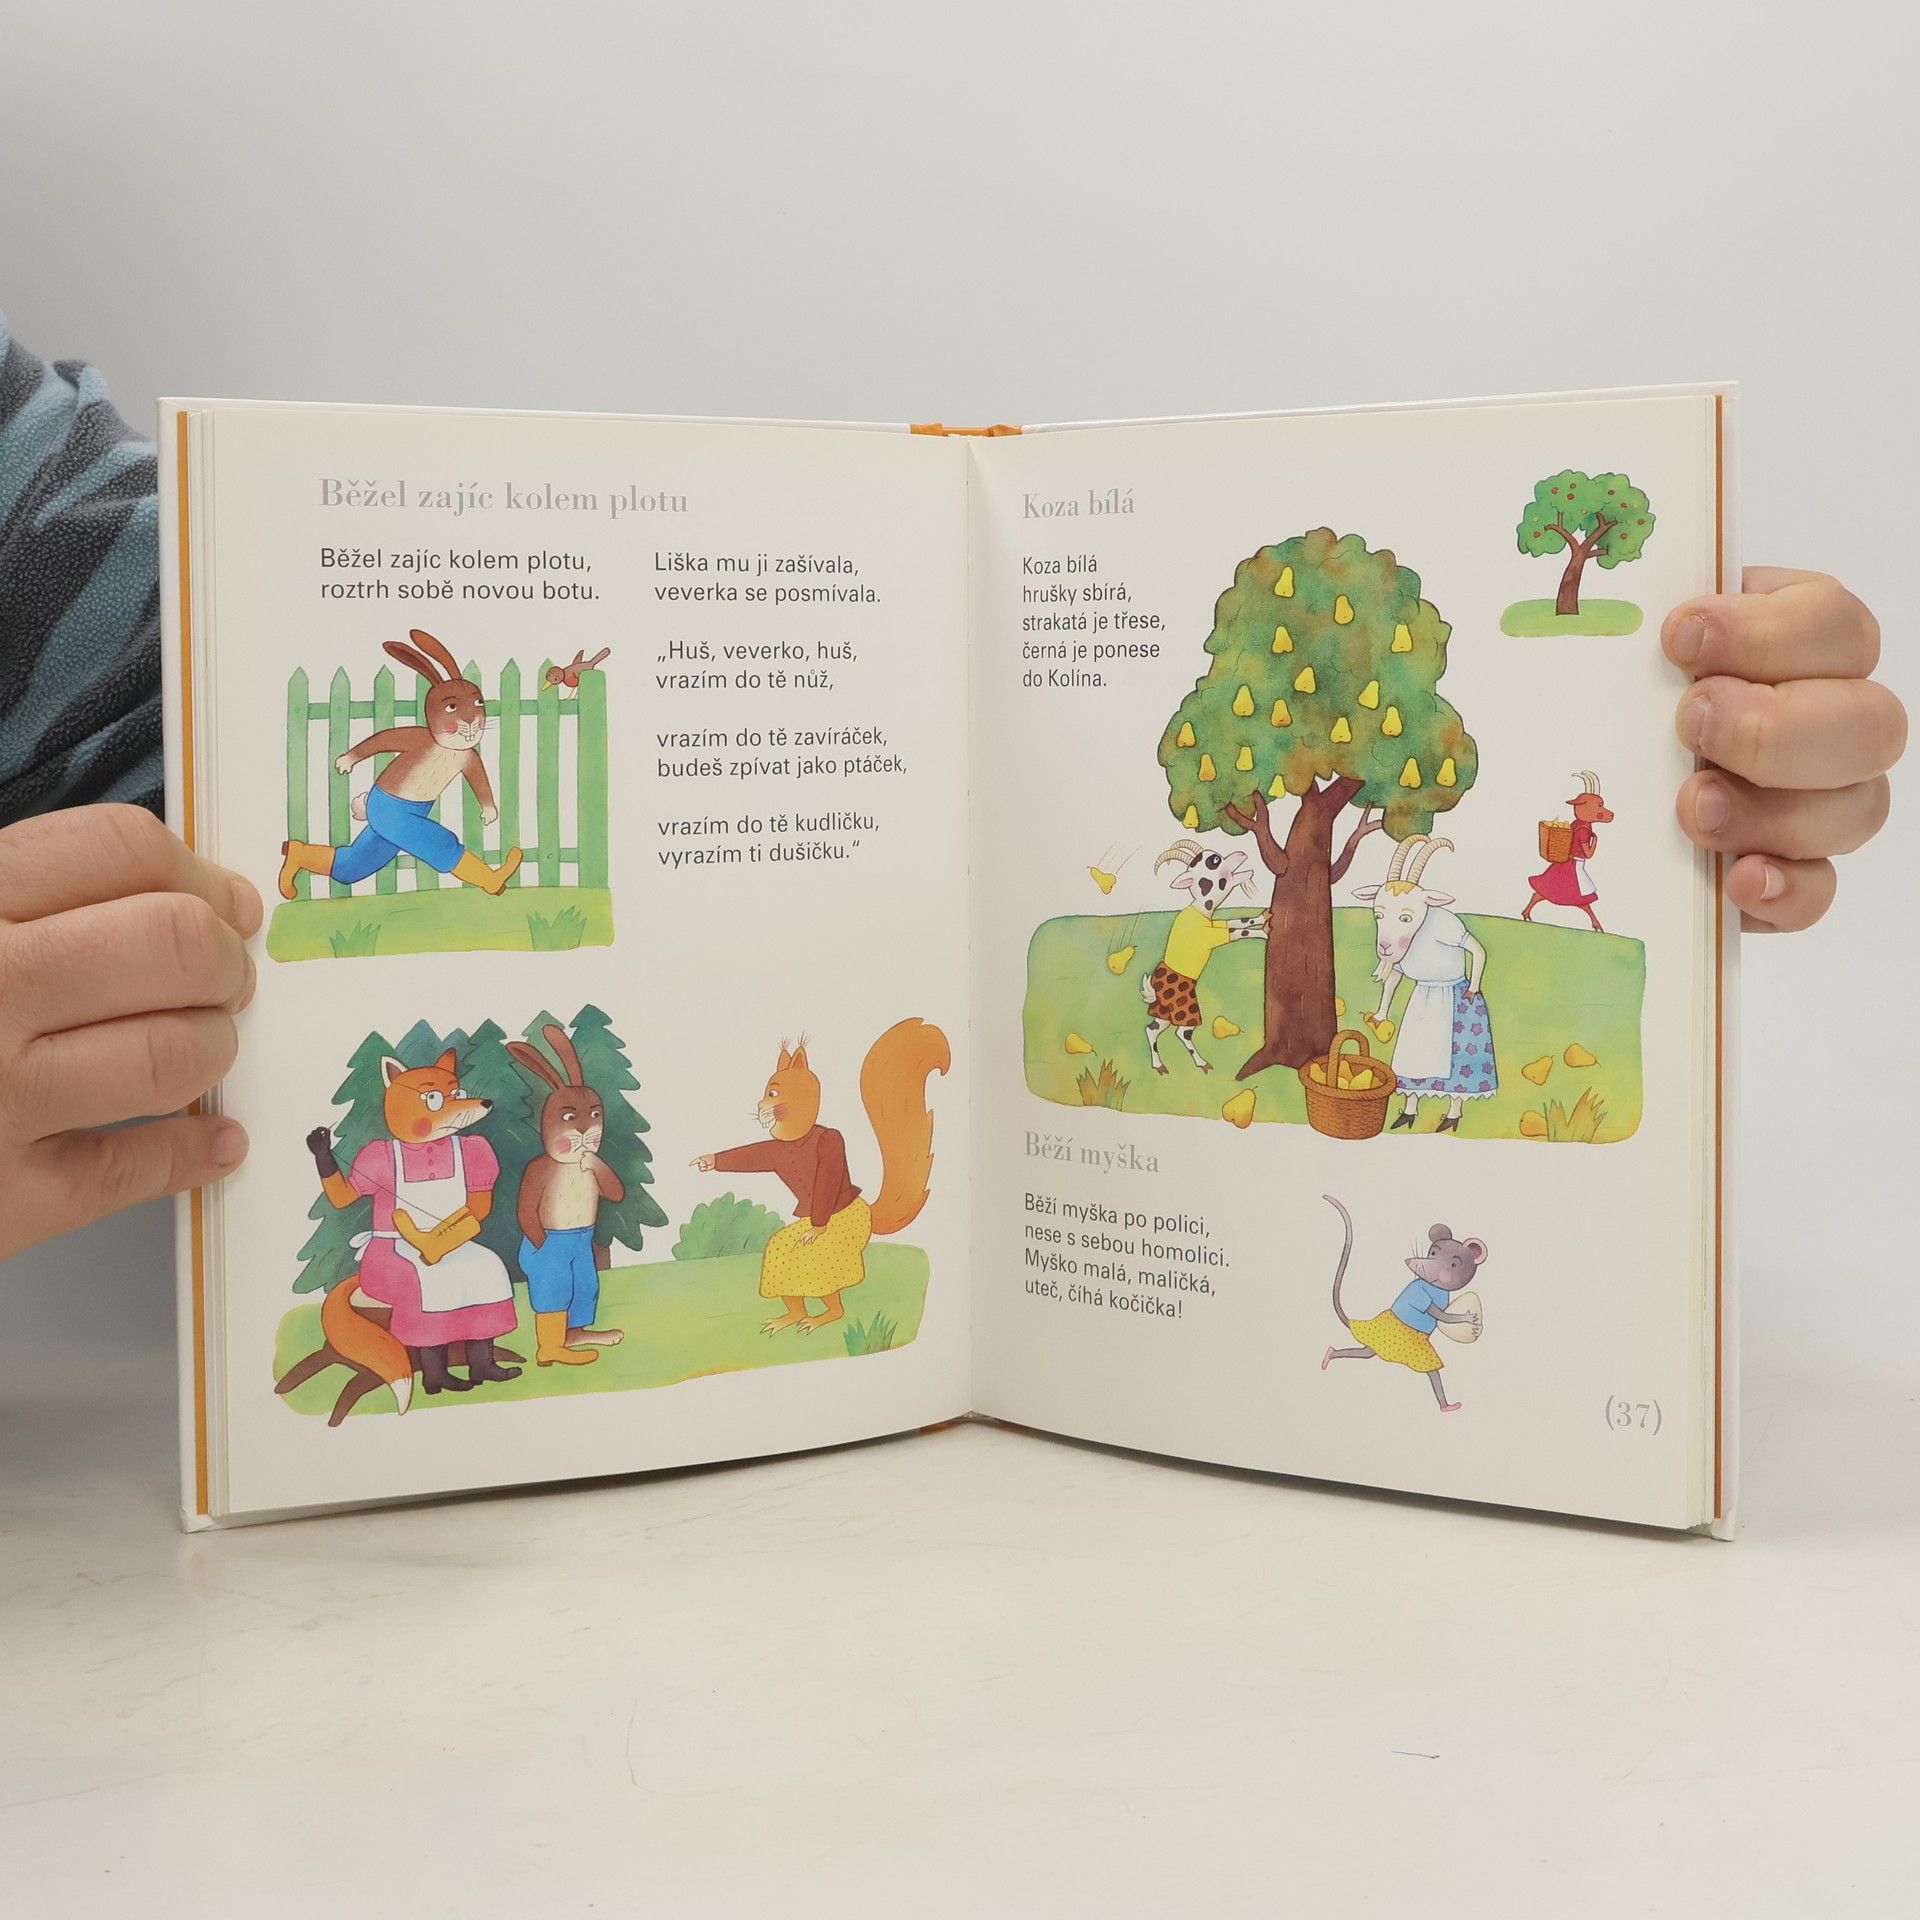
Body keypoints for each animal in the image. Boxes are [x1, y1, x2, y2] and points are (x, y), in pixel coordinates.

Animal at [692, 1017, 950, 1334]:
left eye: (772, 1092)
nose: (759, 1106)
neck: (799, 1138)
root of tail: (868, 1211)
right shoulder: (773, 1150)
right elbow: (749, 1155)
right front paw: (707, 1160)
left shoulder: (830, 1149)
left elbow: (826, 1178)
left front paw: (815, 1230)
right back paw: (790, 1317)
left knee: (834, 1301)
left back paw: (824, 1316)